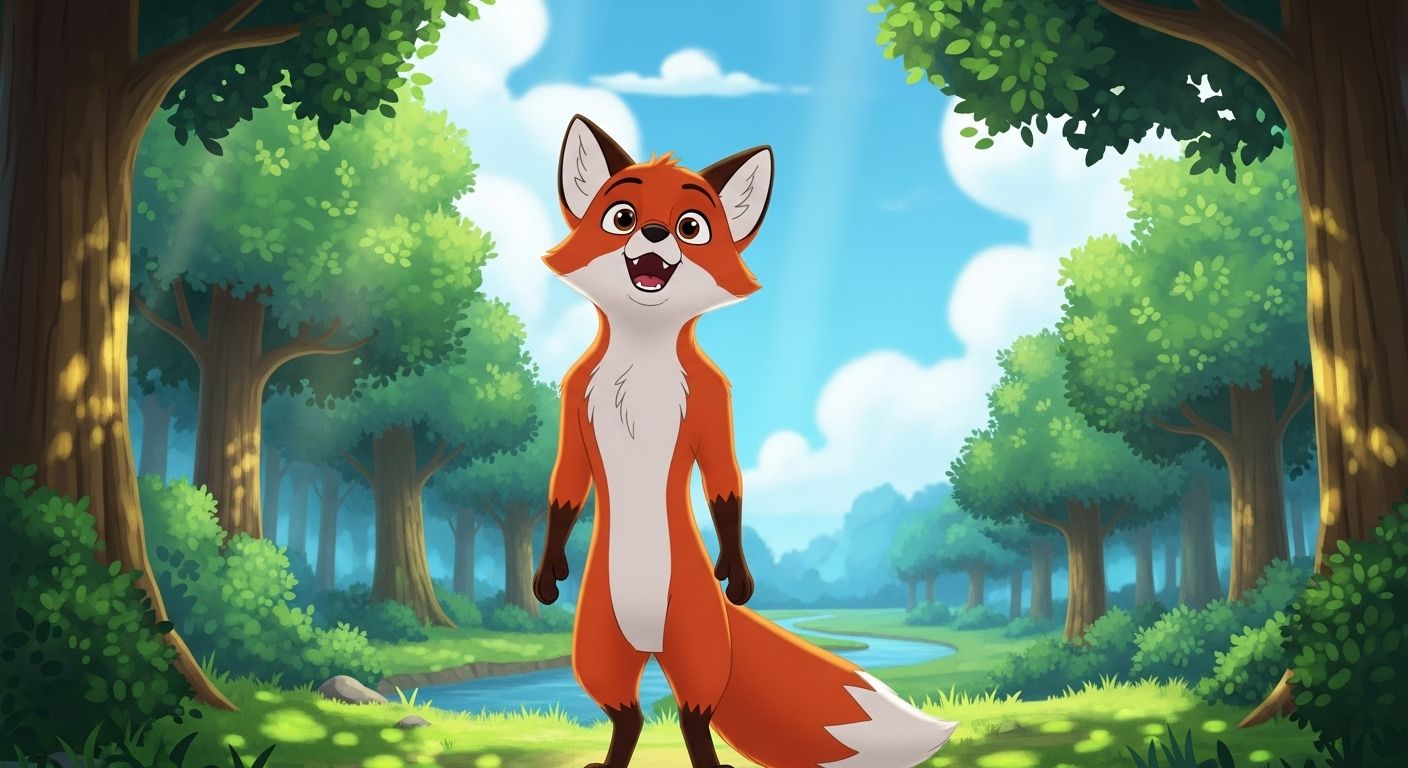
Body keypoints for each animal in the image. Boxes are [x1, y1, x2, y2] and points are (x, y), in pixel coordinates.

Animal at [532, 115, 957, 768]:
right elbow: (566, 489)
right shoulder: (575, 396)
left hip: (698, 637)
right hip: (599, 647)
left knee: (692, 713)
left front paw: (739, 572)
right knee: (628, 715)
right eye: (622, 216)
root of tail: (649, 640)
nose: (655, 233)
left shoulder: (712, 397)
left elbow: (724, 484)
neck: (642, 357)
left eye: (691, 226)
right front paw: (547, 576)